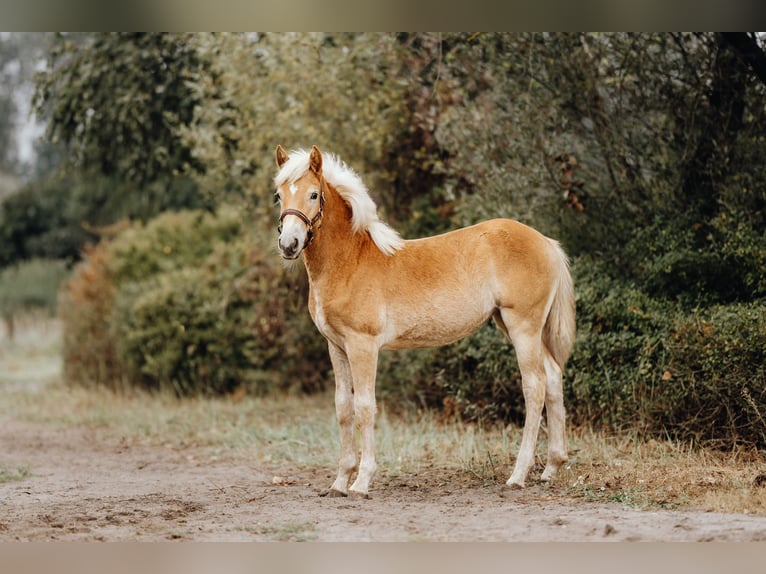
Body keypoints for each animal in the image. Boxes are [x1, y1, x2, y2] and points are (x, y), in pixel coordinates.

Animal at [276, 145, 576, 500]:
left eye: (313, 194)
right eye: (278, 195)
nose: (289, 245)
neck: (350, 261)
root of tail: (547, 242)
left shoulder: (363, 345)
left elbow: (364, 407)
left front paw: (361, 482)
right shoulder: (336, 346)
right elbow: (343, 408)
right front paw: (339, 483)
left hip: (523, 328)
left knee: (535, 386)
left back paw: (518, 475)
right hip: (515, 325)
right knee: (553, 376)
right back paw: (551, 467)